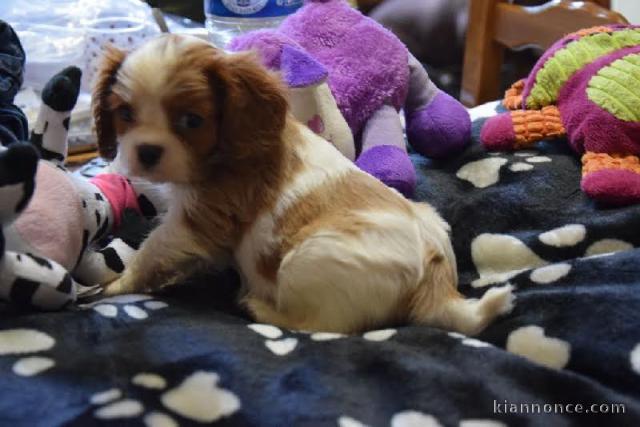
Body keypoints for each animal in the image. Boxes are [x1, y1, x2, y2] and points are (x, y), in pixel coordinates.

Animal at [92, 35, 512, 334]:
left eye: (191, 121)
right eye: (125, 114)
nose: (146, 152)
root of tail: (436, 276)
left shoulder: (199, 219)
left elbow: (152, 251)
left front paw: (114, 287)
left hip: (305, 263)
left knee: (325, 327)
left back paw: (259, 307)